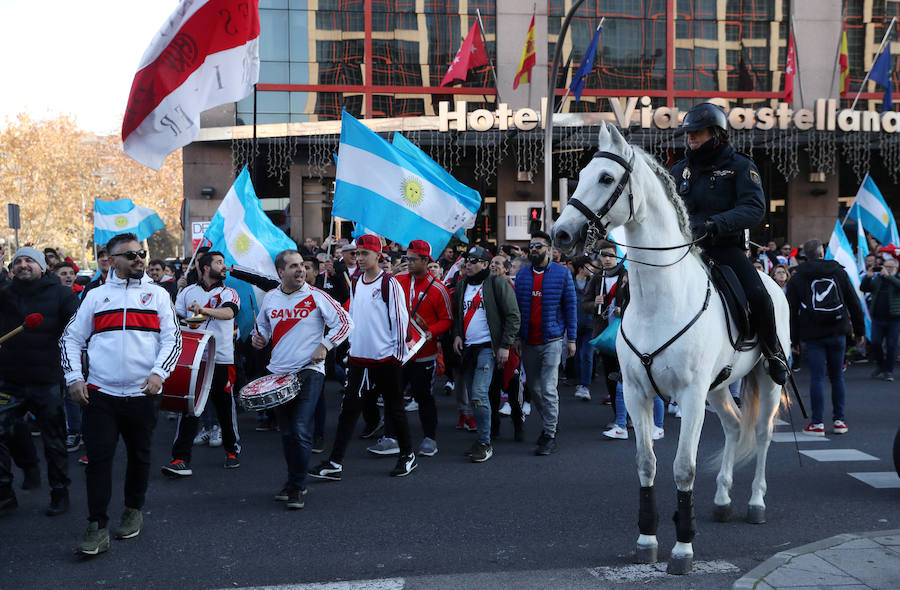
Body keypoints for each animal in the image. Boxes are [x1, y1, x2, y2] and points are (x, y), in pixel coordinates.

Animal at [552, 123, 792, 580]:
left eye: (606, 178)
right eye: (581, 174)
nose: (560, 234)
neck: (660, 299)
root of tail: (774, 282)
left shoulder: (691, 396)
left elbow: (684, 467)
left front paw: (683, 548)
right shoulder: (638, 394)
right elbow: (646, 463)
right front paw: (647, 541)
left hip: (766, 380)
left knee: (763, 433)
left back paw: (756, 502)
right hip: (720, 387)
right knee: (734, 426)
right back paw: (722, 500)